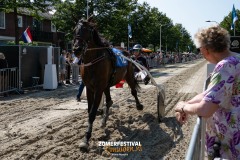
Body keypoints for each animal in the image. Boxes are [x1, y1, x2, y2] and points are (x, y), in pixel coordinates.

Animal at [72, 15, 144, 149]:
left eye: (87, 30)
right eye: (74, 30)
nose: (77, 49)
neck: (93, 61)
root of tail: (126, 51)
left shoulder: (99, 88)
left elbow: (92, 113)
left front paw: (86, 139)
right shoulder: (90, 88)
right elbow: (90, 110)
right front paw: (87, 135)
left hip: (128, 75)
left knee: (133, 91)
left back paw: (139, 105)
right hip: (107, 84)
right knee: (109, 101)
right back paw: (104, 121)